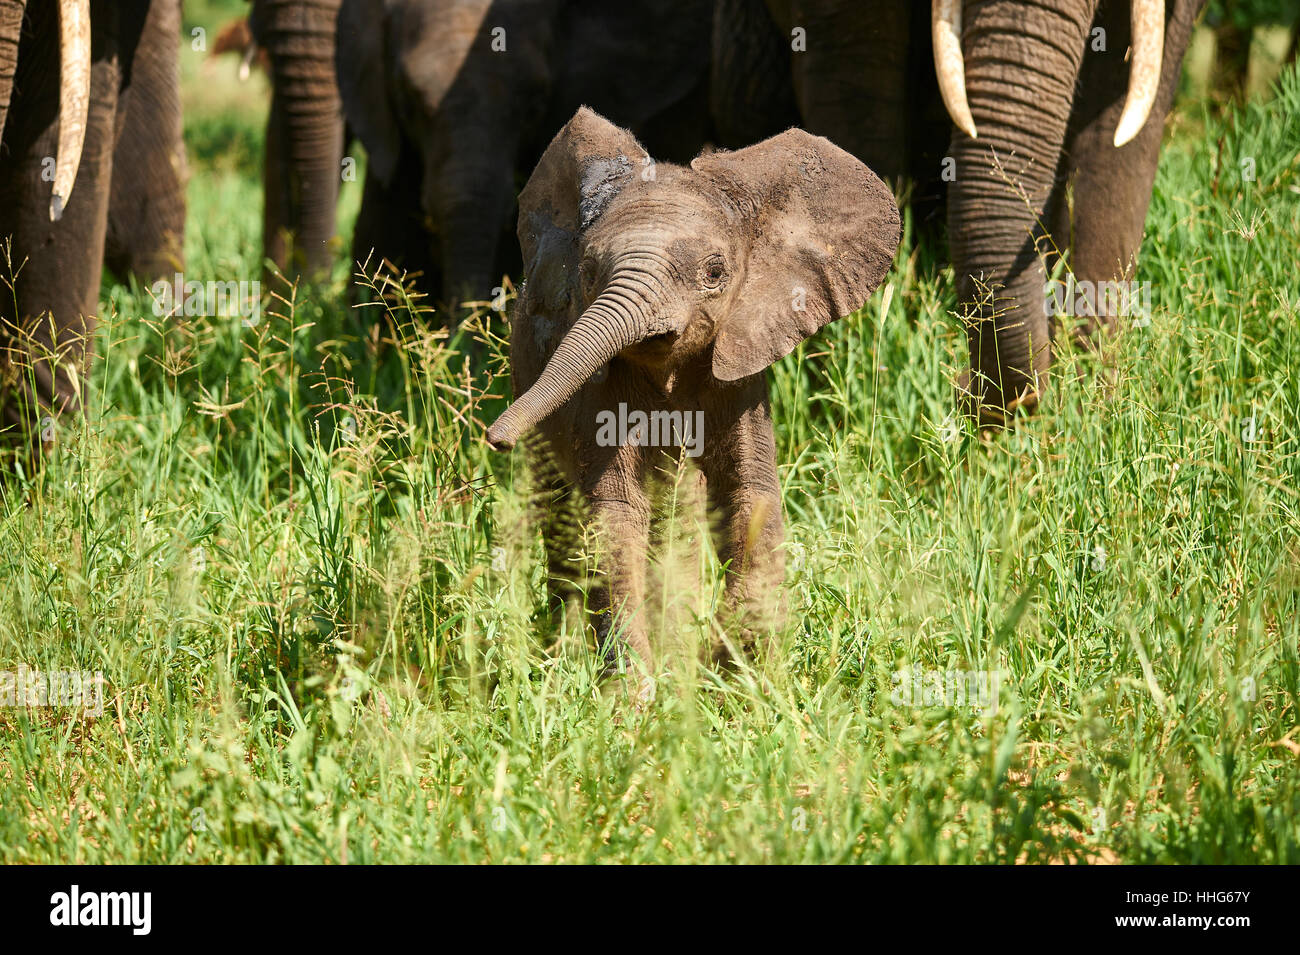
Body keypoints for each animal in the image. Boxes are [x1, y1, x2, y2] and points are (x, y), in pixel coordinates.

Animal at [483, 108, 899, 675]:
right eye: (587, 272)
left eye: (715, 272)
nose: (495, 437)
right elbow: (615, 512)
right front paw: (638, 691)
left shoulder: (738, 372)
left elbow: (750, 495)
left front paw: (737, 670)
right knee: (562, 514)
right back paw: (562, 657)